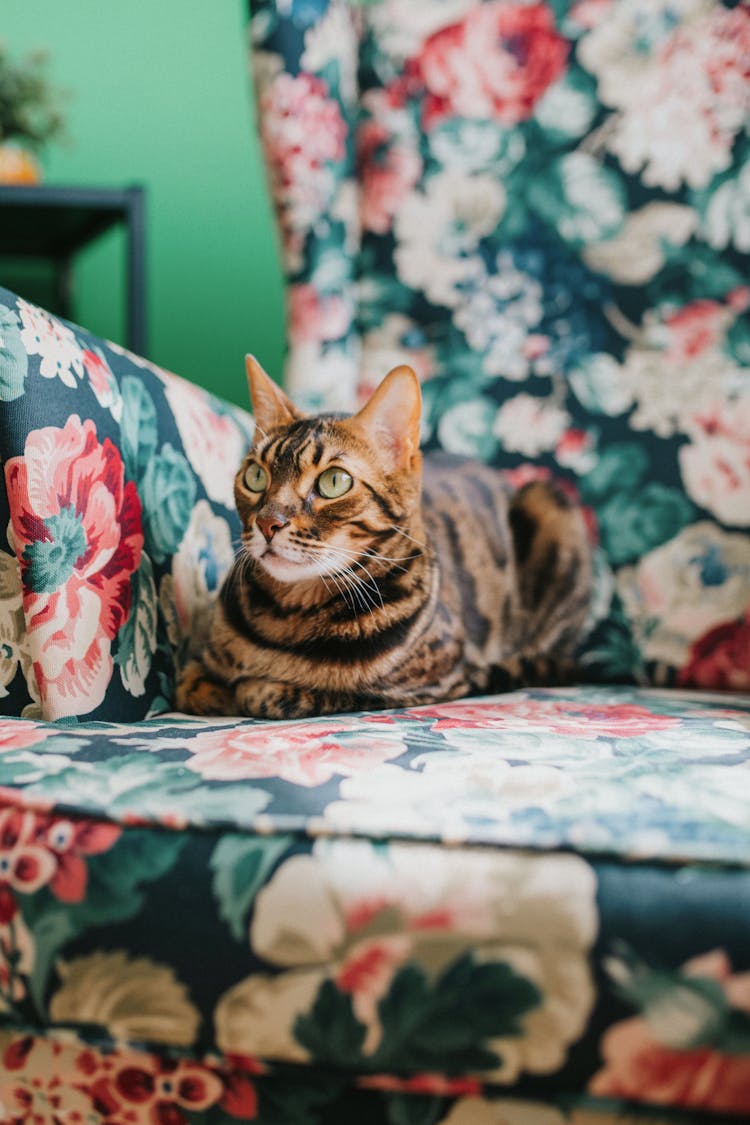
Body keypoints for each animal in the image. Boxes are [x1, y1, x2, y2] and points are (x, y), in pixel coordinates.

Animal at [176, 355, 593, 715]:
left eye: (334, 482)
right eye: (255, 476)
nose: (267, 523)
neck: (288, 615)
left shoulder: (439, 681)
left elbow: (278, 692)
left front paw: (251, 689)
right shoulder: (196, 668)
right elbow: (191, 683)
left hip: (547, 502)